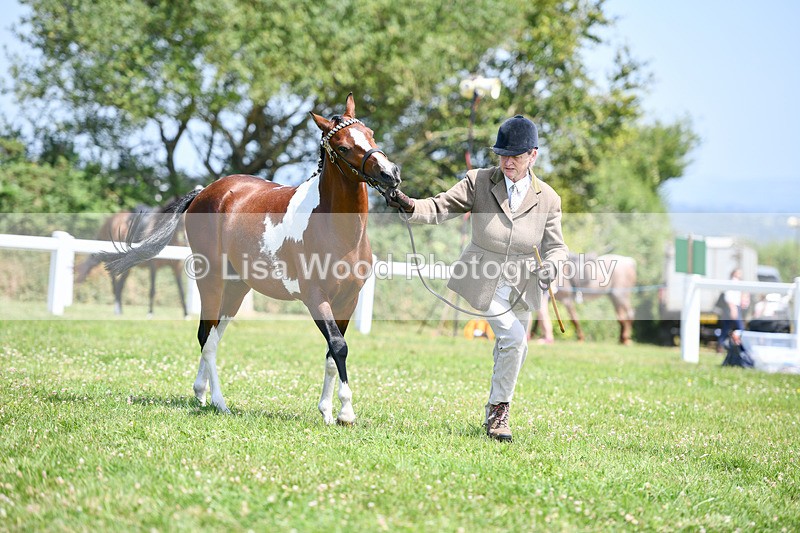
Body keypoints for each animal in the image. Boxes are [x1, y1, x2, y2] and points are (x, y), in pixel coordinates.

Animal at [96, 94, 400, 424]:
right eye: (343, 147)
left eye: (370, 133)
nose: (390, 174)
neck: (336, 229)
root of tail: (204, 192)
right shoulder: (315, 297)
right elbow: (338, 346)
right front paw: (345, 411)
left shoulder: (348, 299)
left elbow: (333, 354)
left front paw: (331, 412)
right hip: (211, 281)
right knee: (207, 338)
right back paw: (219, 402)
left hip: (236, 289)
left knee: (213, 334)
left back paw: (201, 394)